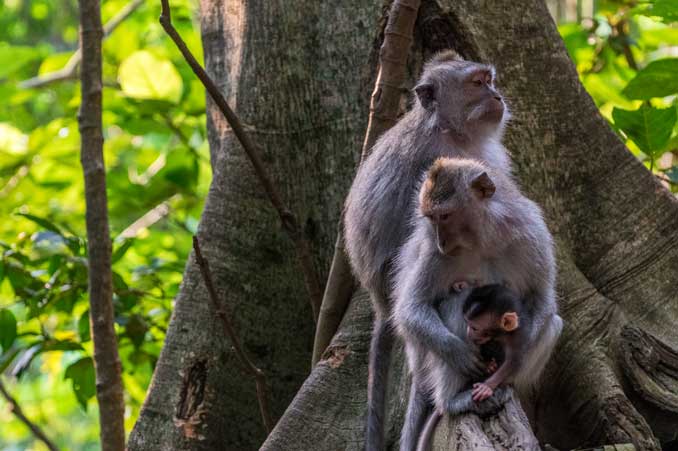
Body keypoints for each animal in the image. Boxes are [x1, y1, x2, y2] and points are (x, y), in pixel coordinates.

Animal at [342, 50, 512, 451]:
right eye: (477, 83)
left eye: (489, 80)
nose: (497, 97)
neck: (449, 130)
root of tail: (378, 298)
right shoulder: (435, 163)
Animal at [390, 159, 564, 451]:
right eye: (431, 218)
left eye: (445, 216)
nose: (441, 240)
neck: (485, 240)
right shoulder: (435, 255)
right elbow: (412, 309)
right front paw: (460, 353)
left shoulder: (533, 234)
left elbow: (541, 298)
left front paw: (515, 351)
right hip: (424, 357)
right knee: (454, 303)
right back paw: (452, 401)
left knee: (553, 323)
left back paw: (502, 386)